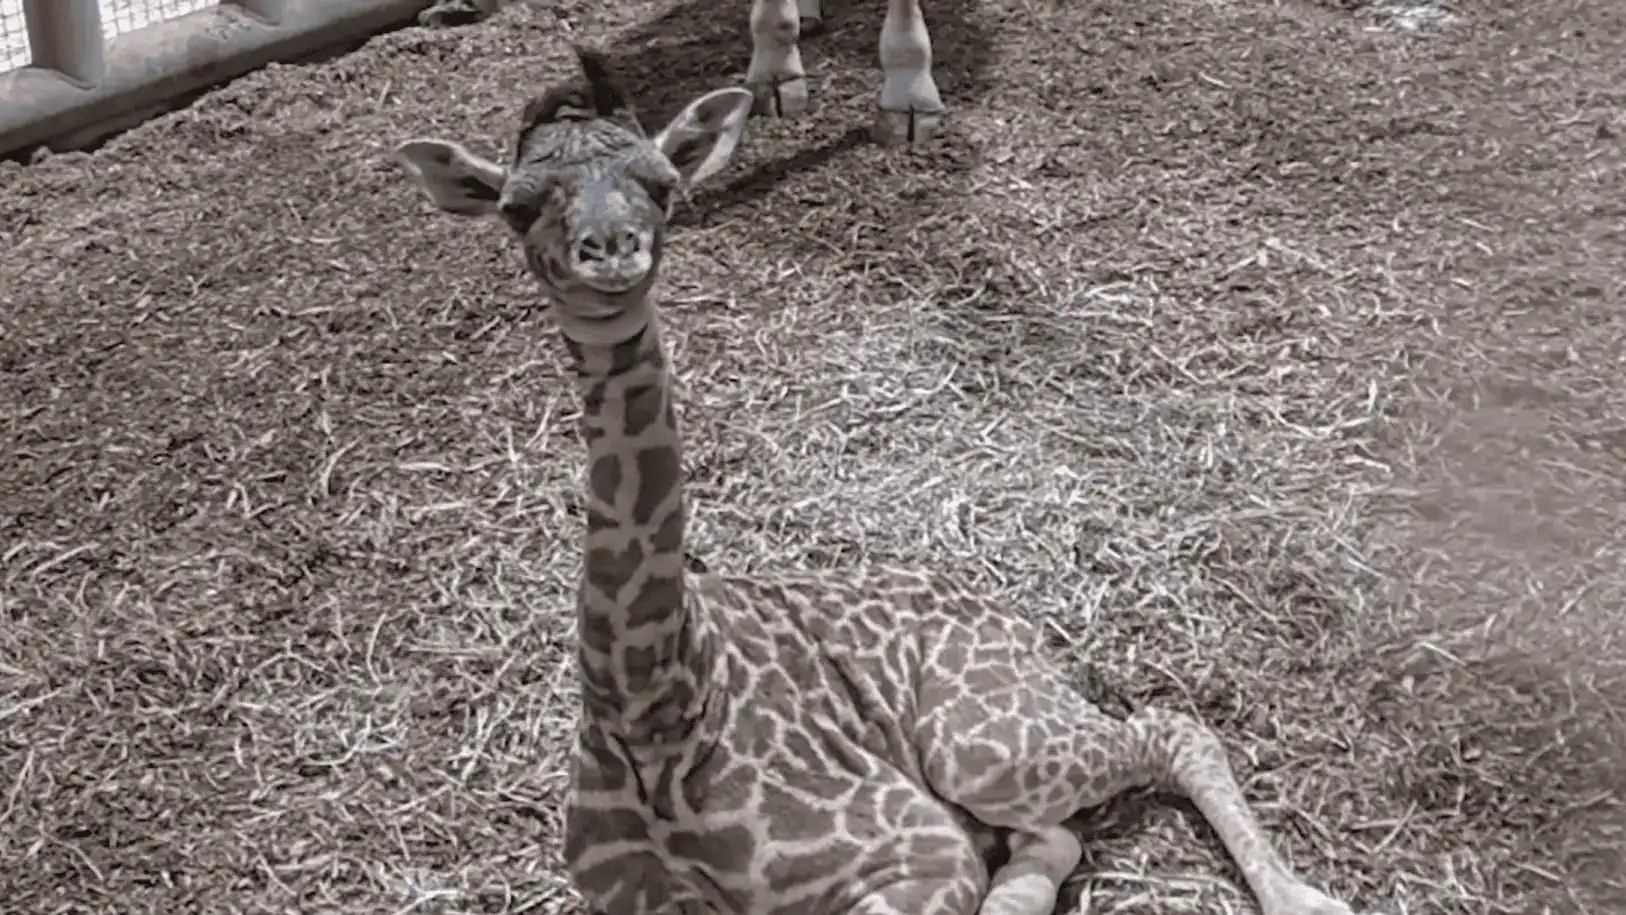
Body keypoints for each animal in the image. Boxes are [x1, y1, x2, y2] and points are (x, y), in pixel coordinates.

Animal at [391, 46, 1362, 915]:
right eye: (517, 208)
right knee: (1055, 835)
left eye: (664, 184)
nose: (612, 252)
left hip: (984, 745)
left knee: (1171, 730)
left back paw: (1308, 898)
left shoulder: (917, 856)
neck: (653, 702)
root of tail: (1028, 630)